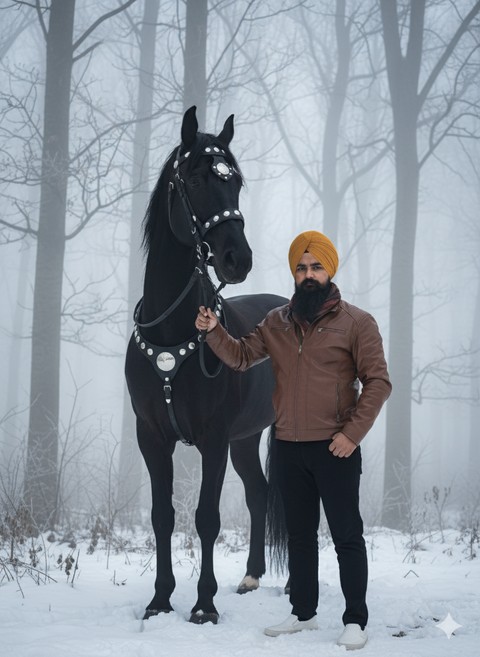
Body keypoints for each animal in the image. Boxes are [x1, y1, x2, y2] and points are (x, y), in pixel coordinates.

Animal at [125, 106, 286, 624]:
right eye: (195, 180)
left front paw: (203, 605)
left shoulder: (213, 438)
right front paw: (159, 600)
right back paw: (251, 577)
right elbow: (163, 517)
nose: (238, 258)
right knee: (259, 493)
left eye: (235, 181)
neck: (171, 335)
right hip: (246, 439)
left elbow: (206, 519)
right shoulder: (152, 437)